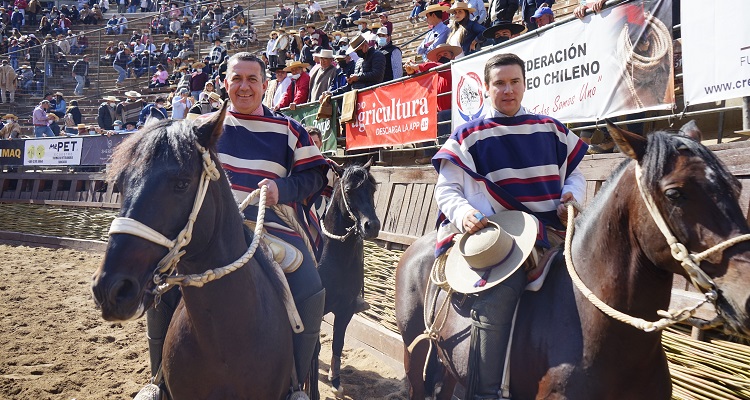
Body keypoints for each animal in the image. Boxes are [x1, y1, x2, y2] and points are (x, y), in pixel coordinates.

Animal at [318, 158, 382, 396]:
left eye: (372, 189)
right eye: (348, 190)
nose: (371, 226)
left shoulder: (345, 309)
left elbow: (338, 343)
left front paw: (335, 380)